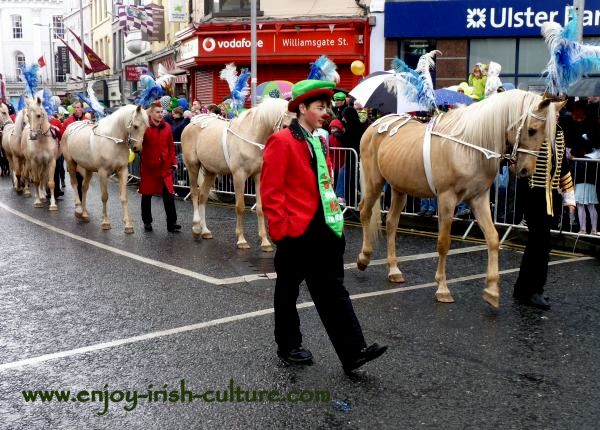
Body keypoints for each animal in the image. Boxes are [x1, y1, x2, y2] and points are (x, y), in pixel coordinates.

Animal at [61, 104, 149, 233]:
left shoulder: (123, 171)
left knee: (84, 188)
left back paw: (84, 214)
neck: (113, 140)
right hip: (71, 163)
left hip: (88, 169)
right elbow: (104, 197)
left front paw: (128, 225)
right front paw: (105, 222)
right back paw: (78, 210)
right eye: (136, 126)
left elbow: (124, 197)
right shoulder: (103, 172)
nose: (137, 148)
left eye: (146, 127)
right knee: (74, 184)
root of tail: (70, 127)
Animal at [182, 98, 294, 252]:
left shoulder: (258, 176)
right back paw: (196, 228)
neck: (251, 136)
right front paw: (241, 240)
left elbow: (260, 208)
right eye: (286, 125)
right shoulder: (238, 176)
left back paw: (205, 231)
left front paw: (265, 242)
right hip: (193, 166)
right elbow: (240, 207)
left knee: (203, 197)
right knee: (194, 193)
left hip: (211, 171)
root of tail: (192, 122)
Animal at [356, 90, 556, 308]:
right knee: (365, 211)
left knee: (391, 223)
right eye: (532, 130)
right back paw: (364, 258)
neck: (470, 147)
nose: (525, 170)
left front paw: (492, 290)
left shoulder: (479, 199)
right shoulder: (447, 199)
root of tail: (376, 124)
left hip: (399, 188)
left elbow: (493, 238)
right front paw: (442, 288)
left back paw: (394, 270)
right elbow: (444, 243)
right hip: (375, 182)